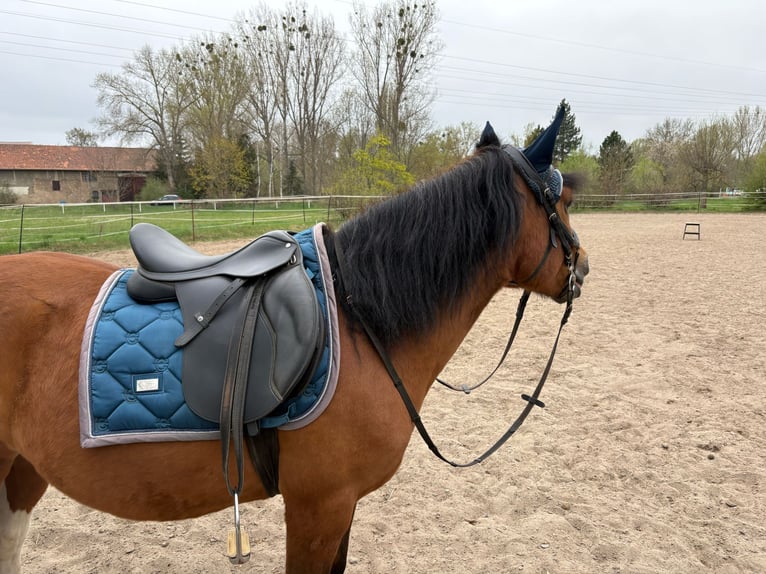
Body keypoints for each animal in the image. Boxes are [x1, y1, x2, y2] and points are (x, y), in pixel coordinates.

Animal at [0, 119, 589, 573]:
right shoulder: (319, 507)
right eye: (562, 200)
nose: (581, 267)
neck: (360, 321)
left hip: (21, 473)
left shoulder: (341, 507)